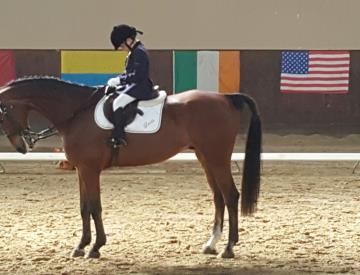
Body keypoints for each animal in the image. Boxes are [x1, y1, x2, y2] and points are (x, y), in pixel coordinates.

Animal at [0, 76, 262, 260]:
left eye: (2, 112)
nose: (21, 146)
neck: (76, 113)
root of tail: (226, 98)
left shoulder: (89, 170)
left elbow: (94, 207)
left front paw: (95, 247)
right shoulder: (81, 170)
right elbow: (84, 208)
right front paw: (81, 246)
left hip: (217, 158)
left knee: (230, 196)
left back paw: (228, 248)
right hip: (205, 157)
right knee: (218, 197)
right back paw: (211, 244)